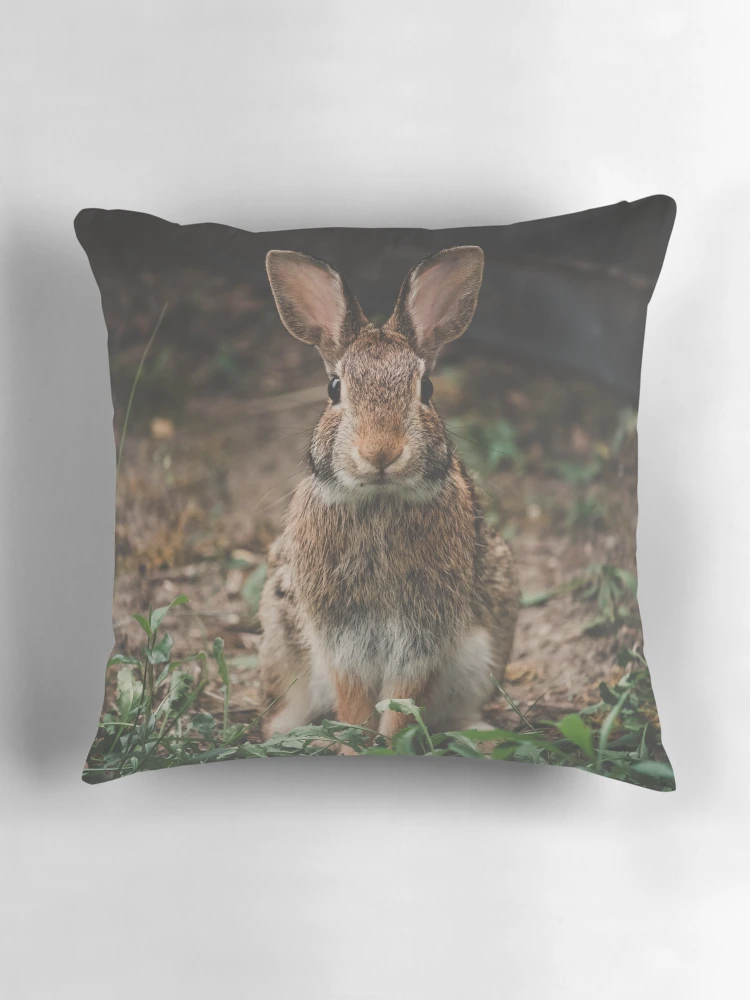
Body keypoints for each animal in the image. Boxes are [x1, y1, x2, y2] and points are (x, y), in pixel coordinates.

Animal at [258, 245, 519, 747]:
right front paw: (356, 745)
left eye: (426, 389)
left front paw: (391, 743)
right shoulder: (340, 634)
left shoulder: (424, 633)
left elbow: (403, 697)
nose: (380, 451)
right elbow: (354, 694)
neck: (379, 501)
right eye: (334, 389)